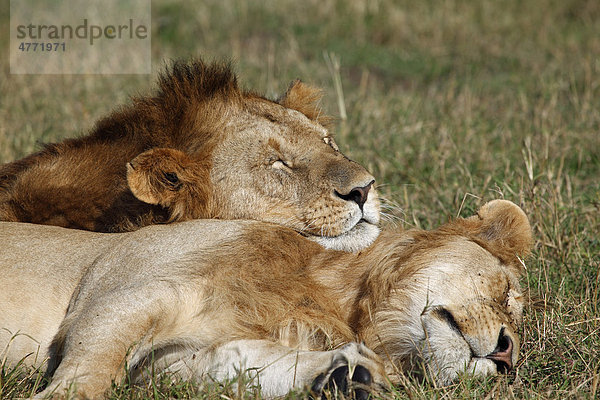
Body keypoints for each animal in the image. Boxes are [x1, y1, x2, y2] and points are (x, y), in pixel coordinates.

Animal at [0, 200, 532, 396]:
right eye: (506, 294)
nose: (507, 357)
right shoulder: (126, 294)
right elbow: (92, 365)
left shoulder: (171, 363)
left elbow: (246, 366)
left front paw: (347, 377)